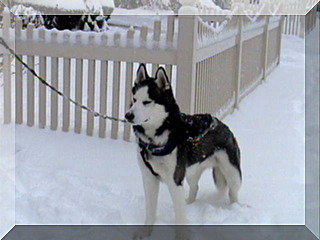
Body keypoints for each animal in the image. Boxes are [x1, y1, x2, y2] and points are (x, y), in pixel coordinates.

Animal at [126, 63, 241, 238]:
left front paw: (182, 236)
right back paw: (189, 202)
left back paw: (235, 210)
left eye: (147, 102)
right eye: (134, 100)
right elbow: (150, 211)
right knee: (195, 188)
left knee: (233, 193)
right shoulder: (149, 179)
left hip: (232, 173)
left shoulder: (175, 181)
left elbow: (180, 217)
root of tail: (222, 125)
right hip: (190, 172)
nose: (128, 115)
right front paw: (146, 232)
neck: (156, 141)